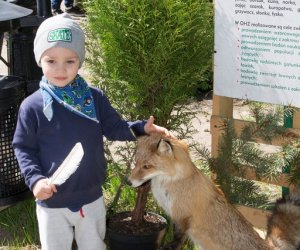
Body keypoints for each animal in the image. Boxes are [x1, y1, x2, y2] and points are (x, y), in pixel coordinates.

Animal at [129, 135, 300, 250]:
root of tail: (267, 245)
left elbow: (177, 239)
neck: (173, 181)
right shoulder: (174, 215)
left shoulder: (183, 216)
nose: (128, 182)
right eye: (136, 163)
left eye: (147, 166)